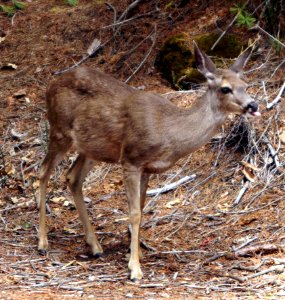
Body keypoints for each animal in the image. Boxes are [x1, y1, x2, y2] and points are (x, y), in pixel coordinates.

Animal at [37, 41, 260, 282]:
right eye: (225, 88)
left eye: (245, 85)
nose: (253, 105)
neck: (170, 131)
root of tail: (51, 83)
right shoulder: (131, 159)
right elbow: (134, 213)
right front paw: (134, 269)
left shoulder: (147, 169)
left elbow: (142, 210)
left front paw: (133, 253)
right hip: (59, 130)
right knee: (43, 172)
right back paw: (43, 242)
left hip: (91, 148)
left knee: (72, 177)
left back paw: (95, 246)